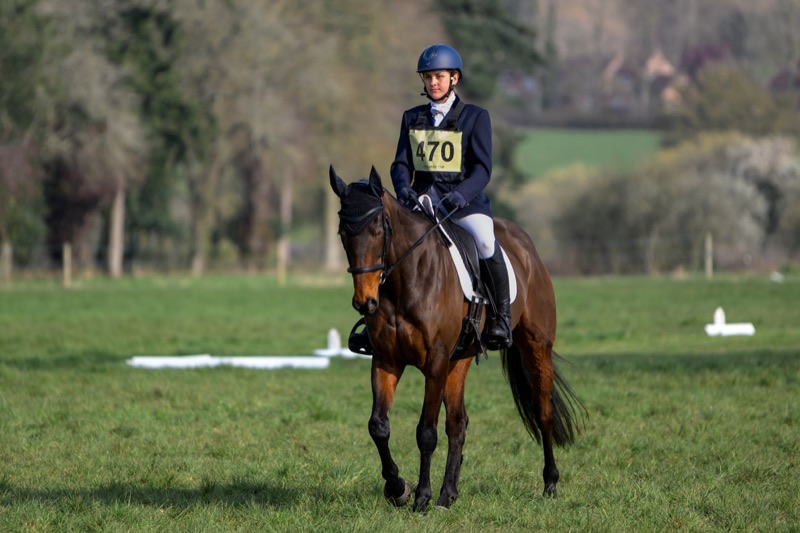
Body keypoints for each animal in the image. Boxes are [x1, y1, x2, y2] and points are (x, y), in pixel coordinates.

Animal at [329, 165, 584, 512]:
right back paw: (448, 494)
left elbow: (426, 431)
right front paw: (398, 488)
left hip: (536, 345)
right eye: (343, 233)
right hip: (459, 360)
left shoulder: (435, 361)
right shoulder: (386, 359)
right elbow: (378, 426)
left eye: (378, 230)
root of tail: (525, 243)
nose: (365, 302)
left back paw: (550, 483)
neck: (404, 282)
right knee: (458, 422)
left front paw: (421, 497)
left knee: (543, 411)